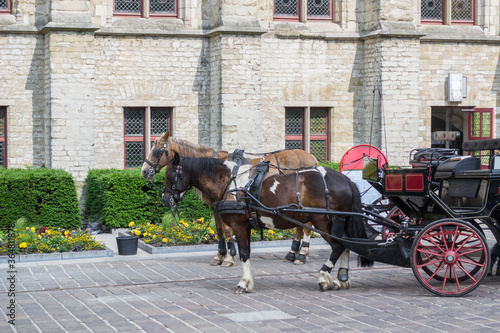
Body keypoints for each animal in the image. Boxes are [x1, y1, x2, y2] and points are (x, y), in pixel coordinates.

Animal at [142, 131, 328, 266]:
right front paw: (220, 255)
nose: (144, 171)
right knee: (300, 224)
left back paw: (301, 254)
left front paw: (229, 256)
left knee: (306, 225)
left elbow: (226, 229)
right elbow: (219, 229)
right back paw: (292, 253)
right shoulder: (215, 205)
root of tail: (311, 158)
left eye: (157, 151)